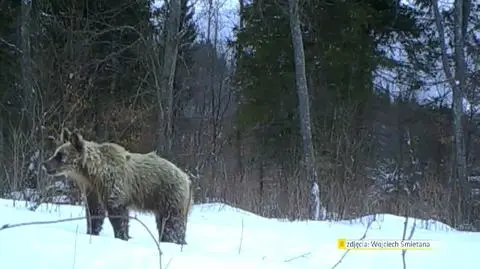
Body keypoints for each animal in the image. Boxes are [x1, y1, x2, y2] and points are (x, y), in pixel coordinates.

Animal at [42, 127, 193, 243]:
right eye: (56, 153)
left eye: (60, 156)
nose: (45, 164)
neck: (92, 174)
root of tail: (186, 178)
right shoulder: (92, 190)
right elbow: (94, 212)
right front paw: (92, 231)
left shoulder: (114, 186)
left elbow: (118, 214)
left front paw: (122, 235)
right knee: (166, 222)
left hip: (169, 195)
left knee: (172, 222)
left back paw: (173, 240)